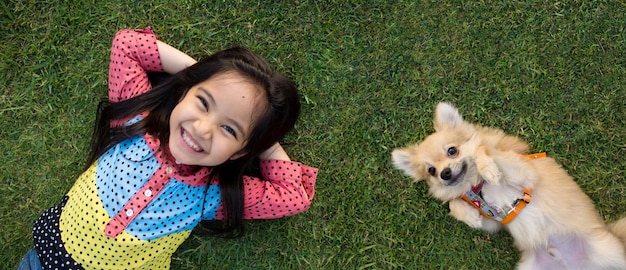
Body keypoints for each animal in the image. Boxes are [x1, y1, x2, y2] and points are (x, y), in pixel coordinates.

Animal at [390, 102, 624, 268]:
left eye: (452, 151)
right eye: (431, 170)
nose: (444, 173)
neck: (476, 185)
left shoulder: (526, 175)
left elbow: (482, 149)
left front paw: (489, 168)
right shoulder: (495, 221)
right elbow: (454, 204)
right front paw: (468, 216)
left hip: (609, 250)